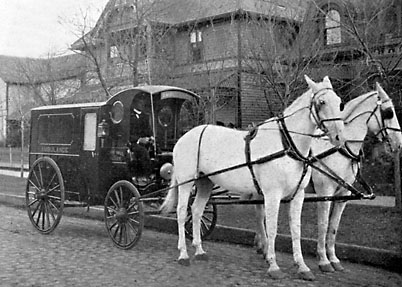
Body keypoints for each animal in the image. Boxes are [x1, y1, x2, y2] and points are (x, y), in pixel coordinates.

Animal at [160, 76, 346, 282]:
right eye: (321, 102)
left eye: (339, 102)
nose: (339, 137)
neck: (286, 144)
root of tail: (184, 136)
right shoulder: (272, 195)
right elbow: (271, 229)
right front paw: (273, 265)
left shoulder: (298, 195)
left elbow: (296, 230)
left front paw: (302, 266)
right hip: (186, 182)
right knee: (181, 212)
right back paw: (183, 254)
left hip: (205, 182)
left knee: (197, 211)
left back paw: (199, 250)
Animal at [254, 82, 402, 274]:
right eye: (389, 112)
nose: (399, 143)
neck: (340, 149)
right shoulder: (325, 192)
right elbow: (323, 225)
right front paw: (323, 260)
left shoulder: (343, 194)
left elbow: (333, 227)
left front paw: (333, 258)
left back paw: (262, 246)